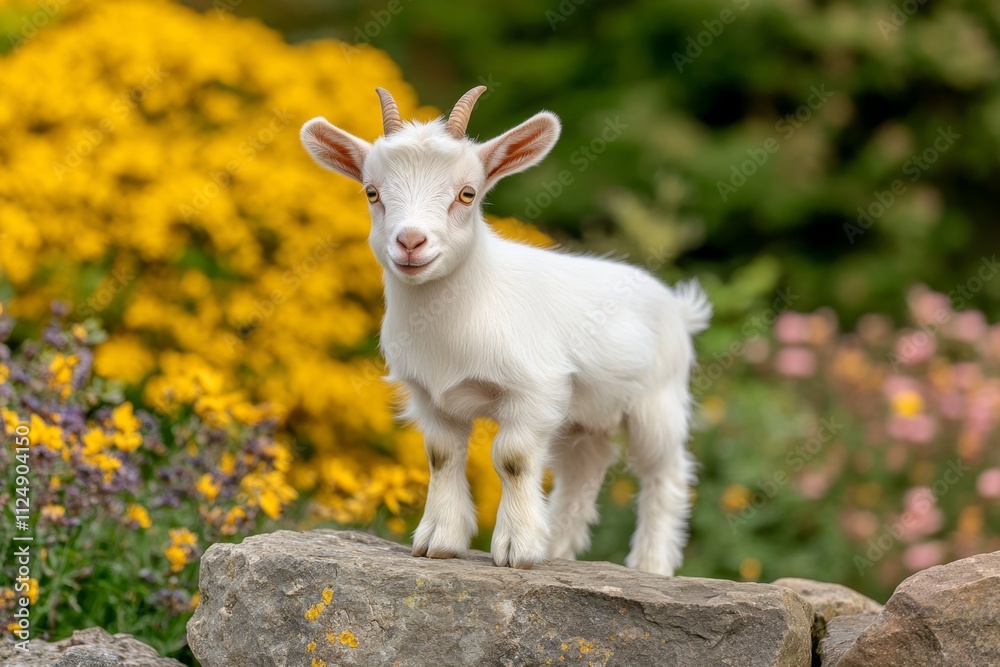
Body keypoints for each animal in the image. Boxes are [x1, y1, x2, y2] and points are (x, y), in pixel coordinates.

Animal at [300, 86, 711, 575]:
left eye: (467, 193)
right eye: (372, 191)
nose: (411, 242)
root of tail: (677, 307)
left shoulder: (536, 390)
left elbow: (512, 459)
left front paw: (517, 549)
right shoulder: (429, 395)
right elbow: (442, 456)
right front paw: (438, 541)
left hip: (657, 401)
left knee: (664, 474)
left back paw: (650, 564)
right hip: (582, 417)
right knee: (582, 476)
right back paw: (558, 548)